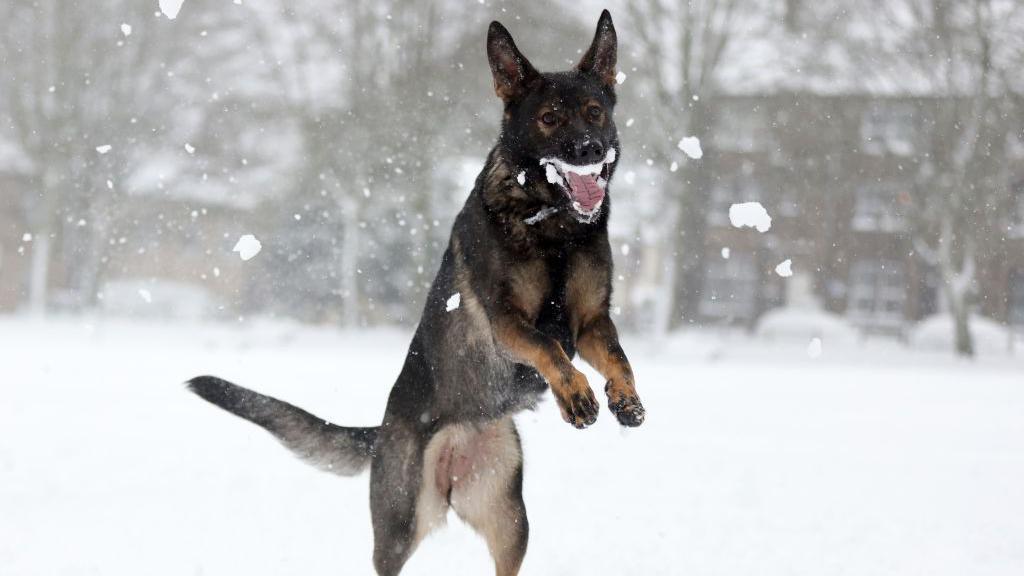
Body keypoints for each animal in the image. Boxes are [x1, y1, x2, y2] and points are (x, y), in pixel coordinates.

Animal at [188, 10, 643, 573]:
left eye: (594, 112)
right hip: (400, 523)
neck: (554, 226)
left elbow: (617, 356)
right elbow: (548, 348)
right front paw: (577, 394)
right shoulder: (506, 321)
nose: (589, 150)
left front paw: (626, 398)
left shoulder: (592, 321)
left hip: (511, 522)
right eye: (550, 118)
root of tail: (386, 430)